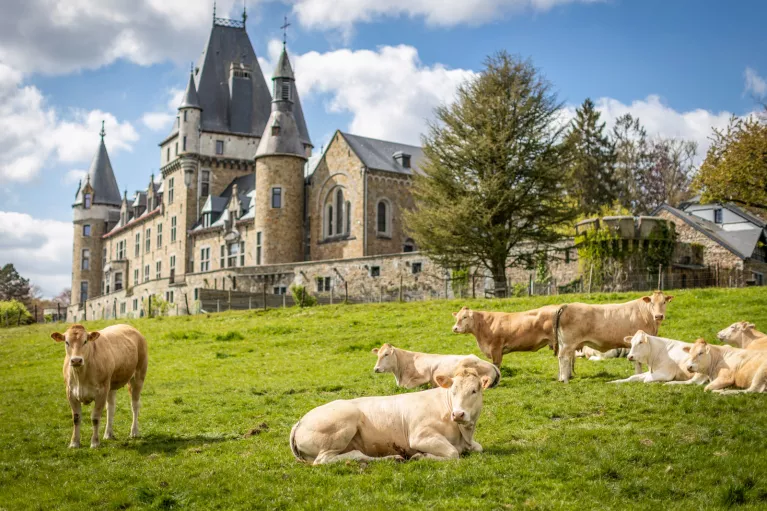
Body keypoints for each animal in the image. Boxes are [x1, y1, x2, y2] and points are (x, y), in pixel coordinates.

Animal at [290, 367, 492, 465]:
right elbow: (453, 453)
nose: (458, 414)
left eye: (474, 391)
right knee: (325, 460)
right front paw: (422, 456)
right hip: (342, 425)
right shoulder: (420, 436)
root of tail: (300, 421)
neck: (463, 434)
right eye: (453, 390)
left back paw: (392, 458)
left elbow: (478, 448)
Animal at [372, 343, 501, 389]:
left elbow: (407, 386)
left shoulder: (424, 376)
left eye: (386, 354)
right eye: (377, 355)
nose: (376, 369)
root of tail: (492, 365)